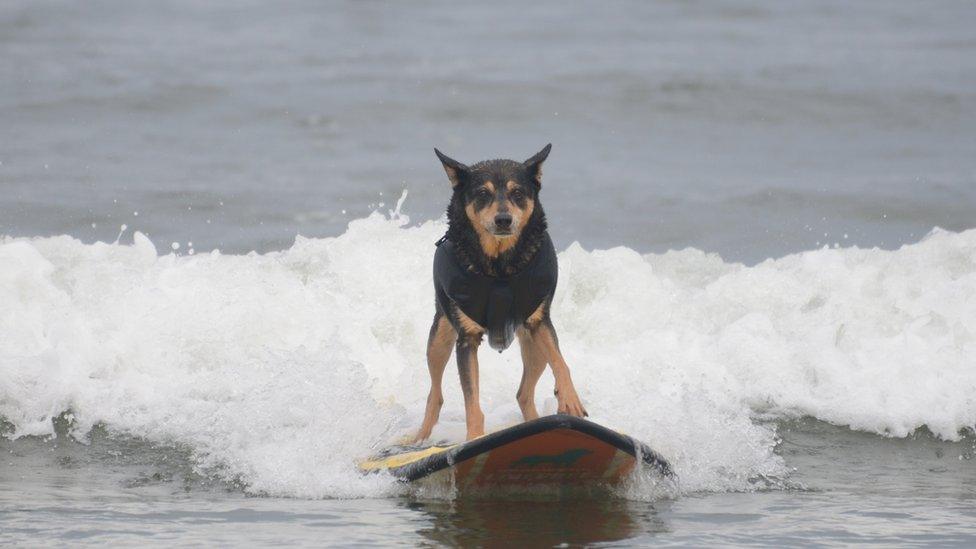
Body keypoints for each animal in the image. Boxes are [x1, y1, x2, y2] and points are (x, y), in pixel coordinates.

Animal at [414, 143, 588, 444]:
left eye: (518, 193)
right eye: (483, 194)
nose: (504, 219)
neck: (499, 269)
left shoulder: (540, 321)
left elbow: (561, 362)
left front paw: (570, 399)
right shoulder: (466, 338)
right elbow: (471, 399)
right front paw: (474, 437)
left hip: (531, 343)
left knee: (524, 392)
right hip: (440, 333)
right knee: (434, 393)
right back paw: (420, 438)